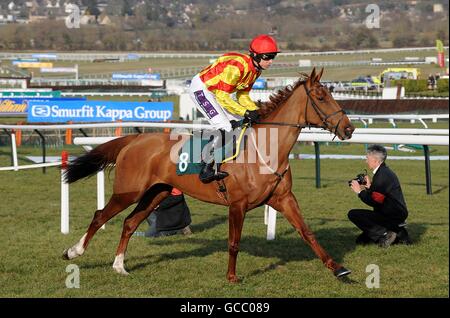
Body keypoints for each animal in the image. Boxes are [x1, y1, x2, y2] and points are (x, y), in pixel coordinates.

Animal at [61, 69, 356, 280]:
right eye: (321, 97)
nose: (349, 128)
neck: (266, 149)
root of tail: (134, 140)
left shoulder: (284, 198)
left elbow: (308, 233)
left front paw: (337, 268)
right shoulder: (237, 204)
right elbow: (234, 242)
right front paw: (232, 276)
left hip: (157, 192)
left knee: (129, 223)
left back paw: (119, 266)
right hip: (128, 191)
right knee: (100, 216)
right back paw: (73, 251)